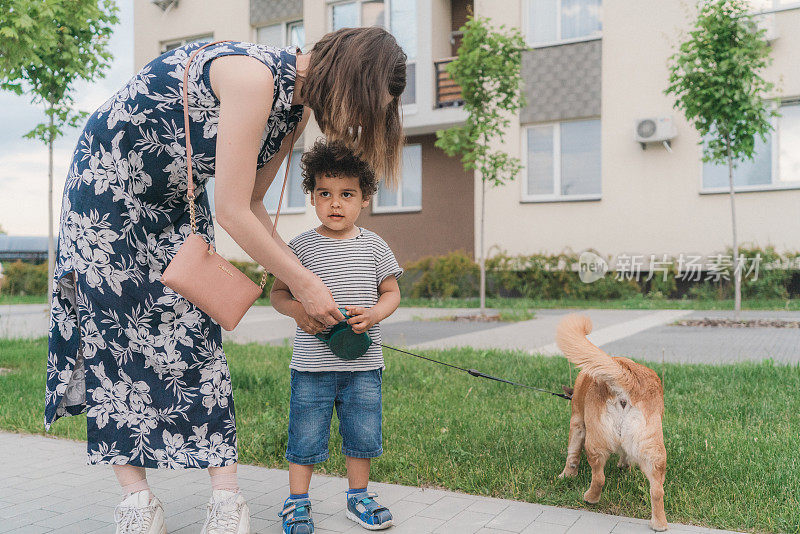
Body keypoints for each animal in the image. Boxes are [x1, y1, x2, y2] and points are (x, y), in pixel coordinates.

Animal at [556, 314, 668, 532]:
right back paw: (659, 524)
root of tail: (629, 378)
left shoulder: (577, 423)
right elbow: (625, 455)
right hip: (653, 451)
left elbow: (572, 455)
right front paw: (625, 466)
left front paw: (566, 475)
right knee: (657, 490)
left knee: (599, 478)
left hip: (594, 444)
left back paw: (590, 498)